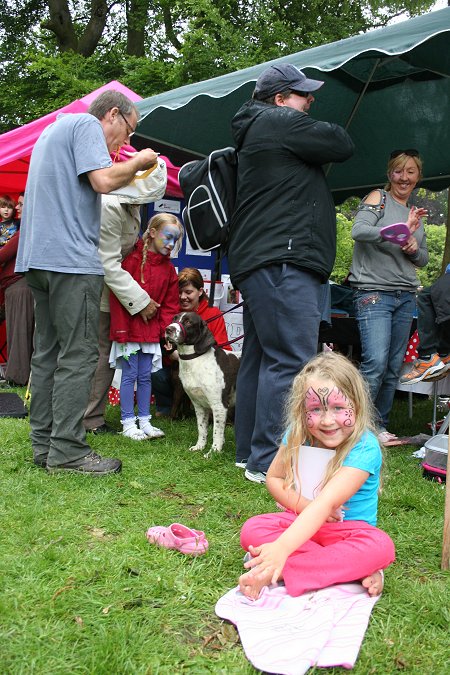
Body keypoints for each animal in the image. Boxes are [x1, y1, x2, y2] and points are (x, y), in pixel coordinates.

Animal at [165, 312, 241, 460]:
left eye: (188, 322)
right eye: (174, 318)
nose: (168, 329)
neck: (196, 359)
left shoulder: (219, 406)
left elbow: (217, 432)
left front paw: (214, 452)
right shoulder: (199, 405)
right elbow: (202, 429)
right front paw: (199, 446)